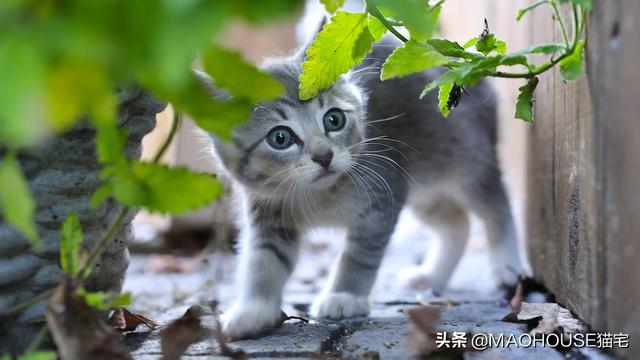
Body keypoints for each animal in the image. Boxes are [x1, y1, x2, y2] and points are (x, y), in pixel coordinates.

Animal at [210, 40, 524, 340]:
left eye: (334, 119)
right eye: (280, 138)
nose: (324, 156)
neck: (320, 194)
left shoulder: (382, 197)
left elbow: (360, 254)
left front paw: (344, 296)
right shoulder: (269, 216)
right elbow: (263, 261)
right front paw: (252, 311)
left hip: (468, 161)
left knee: (496, 206)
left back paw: (507, 265)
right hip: (424, 188)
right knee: (456, 223)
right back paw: (431, 276)